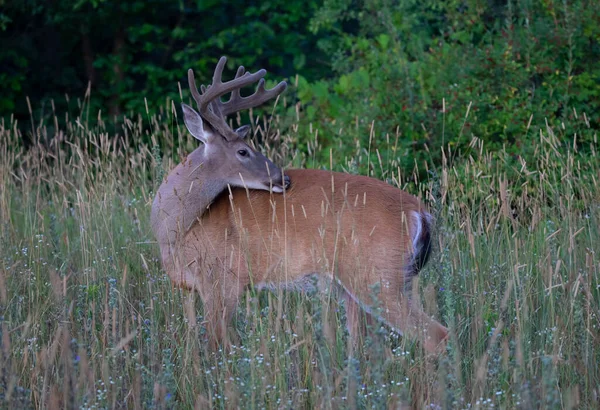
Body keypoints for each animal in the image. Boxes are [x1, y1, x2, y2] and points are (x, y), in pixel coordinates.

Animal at [152, 56, 448, 354]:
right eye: (243, 151)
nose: (283, 178)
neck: (182, 228)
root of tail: (420, 212)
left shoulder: (223, 280)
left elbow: (217, 345)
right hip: (370, 284)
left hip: (378, 276)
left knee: (436, 334)